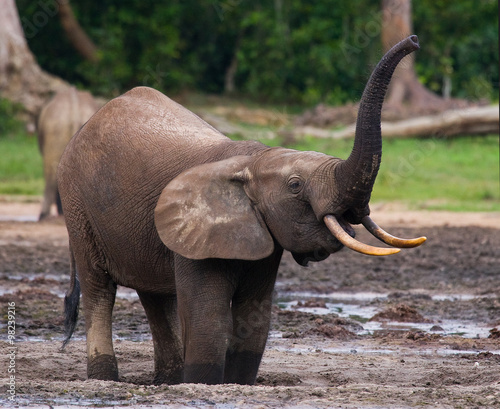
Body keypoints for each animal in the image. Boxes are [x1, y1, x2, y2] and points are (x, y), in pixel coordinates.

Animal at [58, 35, 426, 386]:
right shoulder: (198, 233)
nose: (415, 41)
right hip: (77, 206)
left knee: (154, 298)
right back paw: (105, 378)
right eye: (295, 185)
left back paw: (167, 382)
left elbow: (254, 317)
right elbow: (208, 319)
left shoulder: (262, 234)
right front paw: (204, 384)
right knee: (99, 291)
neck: (253, 160)